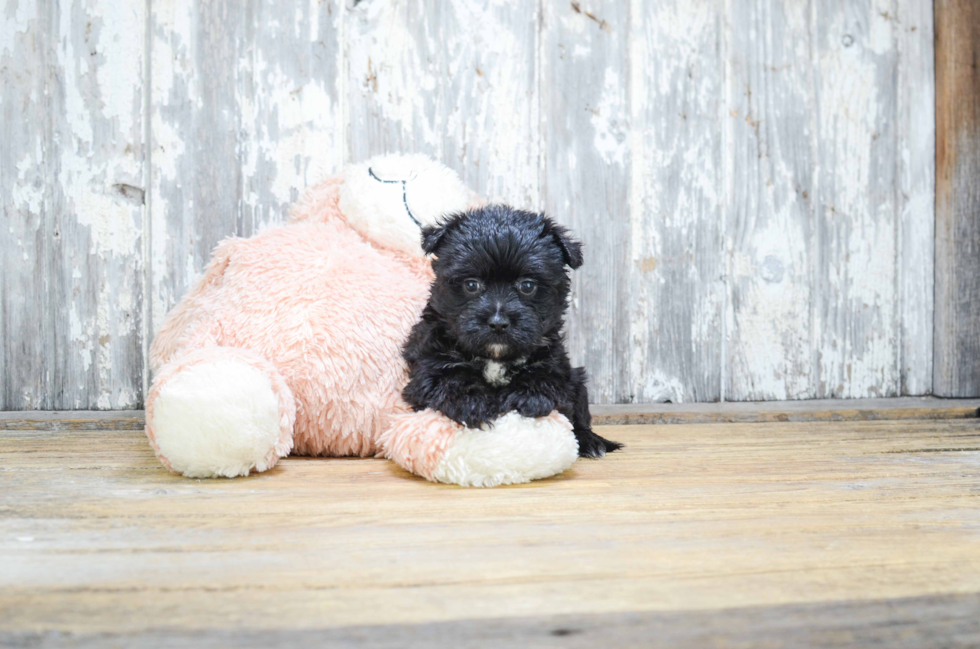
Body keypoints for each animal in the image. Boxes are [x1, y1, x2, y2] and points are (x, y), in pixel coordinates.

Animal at [402, 205, 624, 458]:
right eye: (471, 284)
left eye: (527, 286)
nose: (498, 322)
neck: (495, 357)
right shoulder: (428, 362)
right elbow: (449, 377)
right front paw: (473, 403)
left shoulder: (554, 360)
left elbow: (545, 377)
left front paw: (525, 398)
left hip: (578, 381)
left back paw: (591, 441)